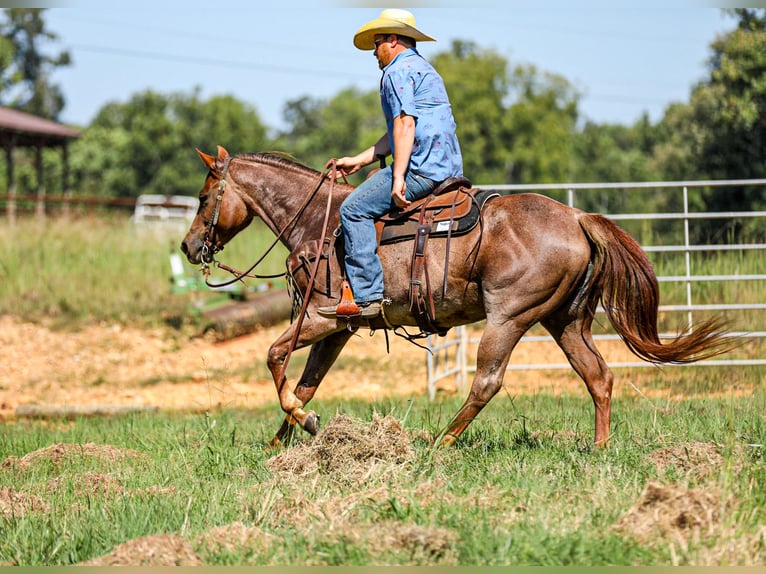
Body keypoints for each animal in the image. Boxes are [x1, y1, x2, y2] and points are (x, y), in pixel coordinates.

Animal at [181, 146, 732, 449]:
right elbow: (307, 383)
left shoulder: (321, 317)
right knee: (597, 376)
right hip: (565, 320)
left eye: (205, 197)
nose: (189, 247)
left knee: (487, 381)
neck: (320, 223)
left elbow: (274, 357)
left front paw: (304, 426)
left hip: (509, 318)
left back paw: (441, 443)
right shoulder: (339, 328)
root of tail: (577, 218)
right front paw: (283, 442)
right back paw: (598, 449)